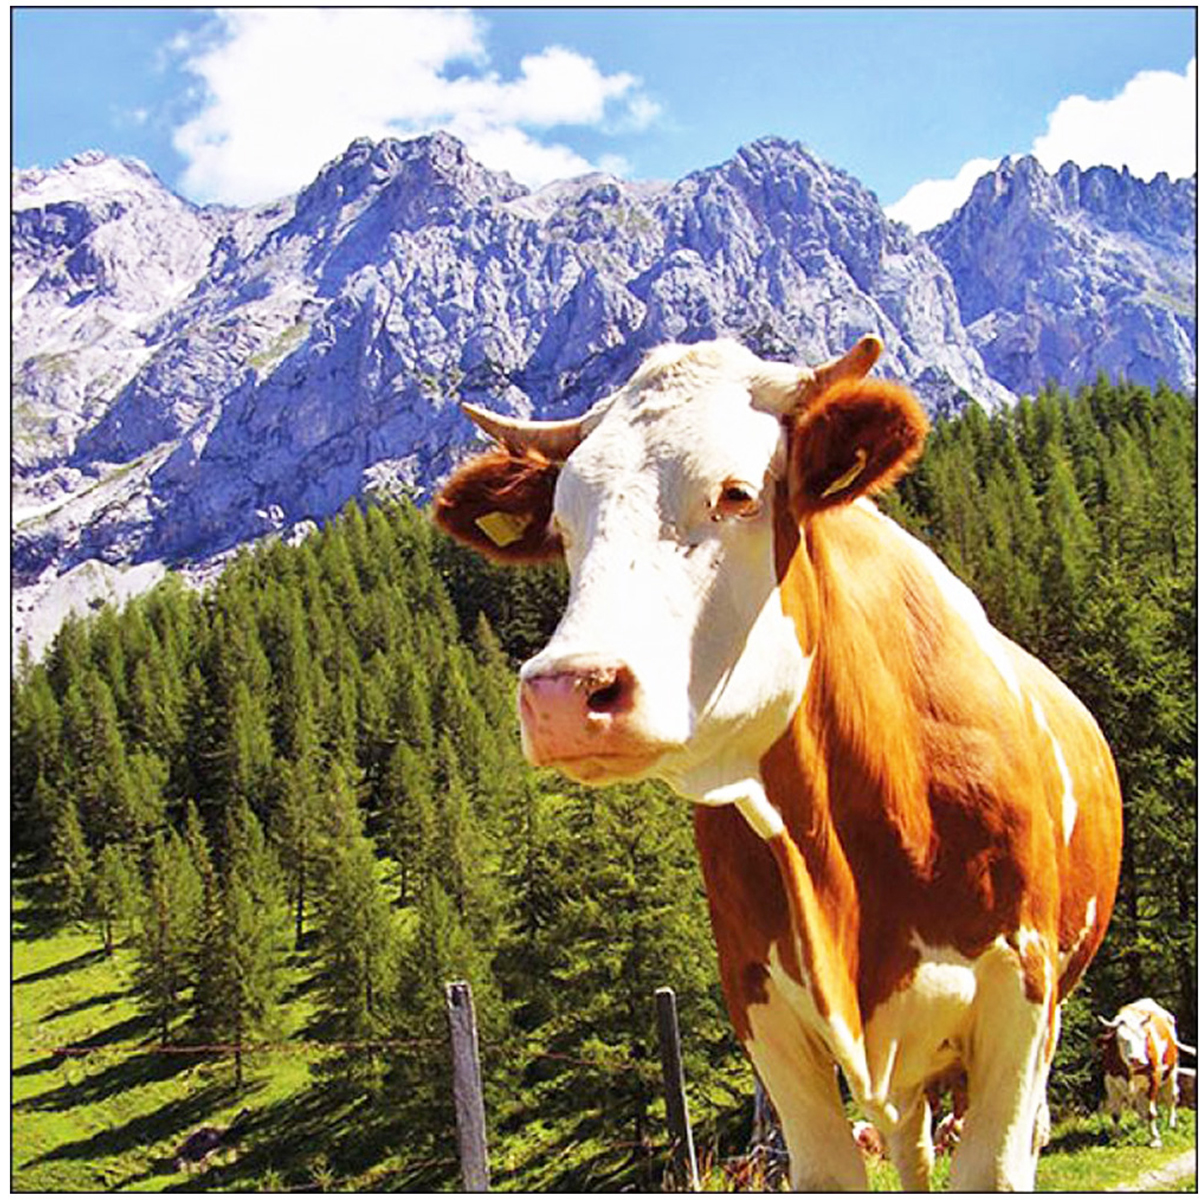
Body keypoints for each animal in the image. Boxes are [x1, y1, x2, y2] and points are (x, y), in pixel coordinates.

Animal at [434, 336, 1123, 1190]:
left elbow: (994, 1165)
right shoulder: (760, 1005)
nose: (564, 690)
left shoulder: (1020, 991)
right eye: (563, 527)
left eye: (736, 494)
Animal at [1100, 998, 1184, 1146]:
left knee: (1171, 1097)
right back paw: (1142, 1125)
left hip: (1172, 1071)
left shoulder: (1154, 1078)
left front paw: (1155, 1139)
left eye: (1143, 1037)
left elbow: (1151, 1112)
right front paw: (1116, 1139)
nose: (1137, 1059)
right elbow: (1115, 1114)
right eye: (1121, 1039)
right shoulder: (1110, 1082)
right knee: (1140, 1106)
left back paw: (1171, 1124)